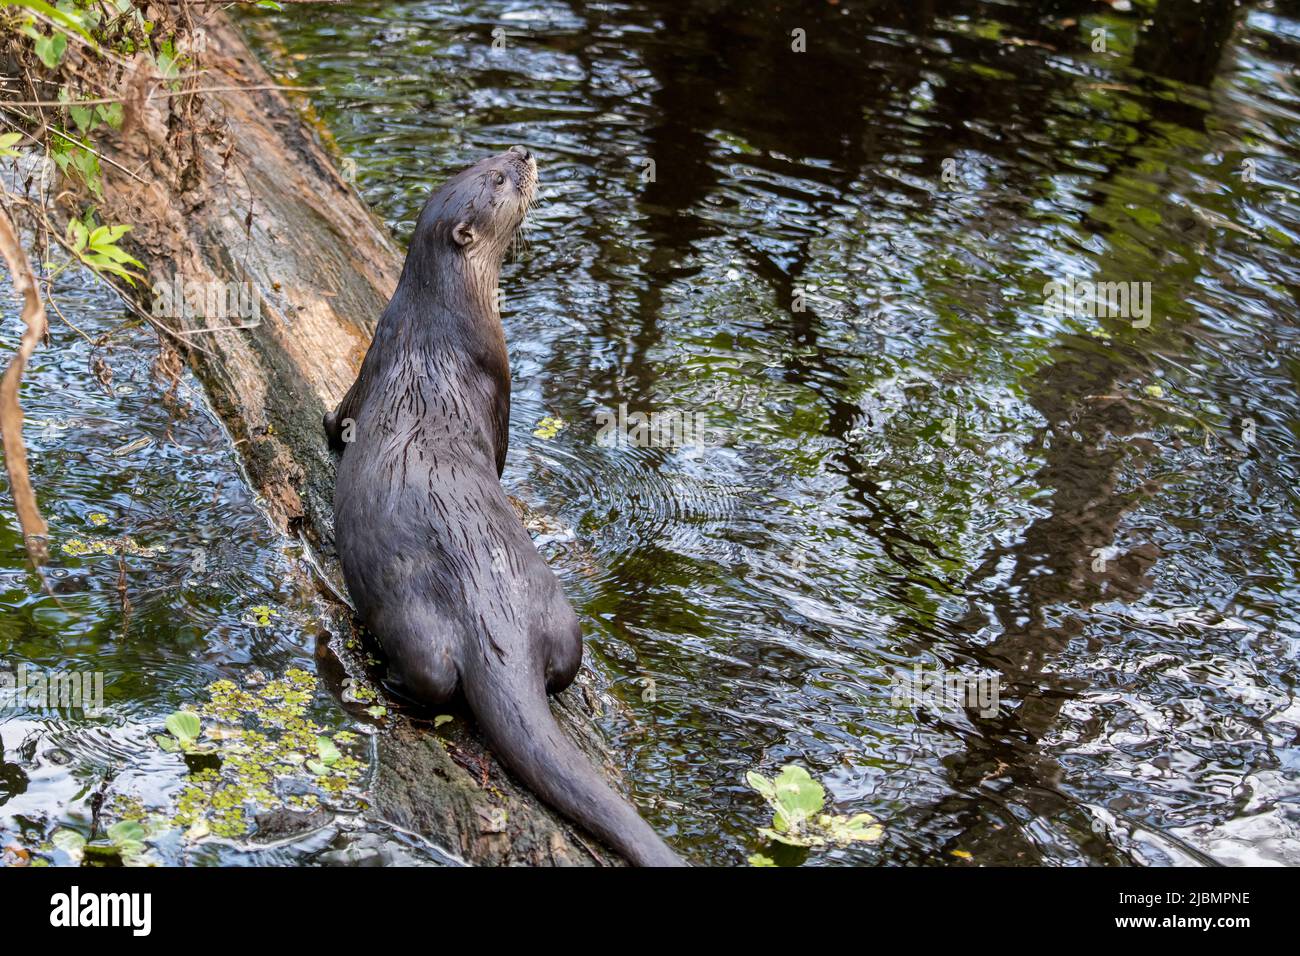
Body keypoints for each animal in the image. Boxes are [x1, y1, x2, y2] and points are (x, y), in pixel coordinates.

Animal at [325, 146, 683, 867]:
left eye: (481, 160)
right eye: (495, 179)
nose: (521, 153)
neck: (437, 323)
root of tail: (498, 623)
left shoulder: (372, 360)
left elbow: (337, 419)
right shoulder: (498, 382)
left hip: (552, 618)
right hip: (426, 627)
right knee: (434, 680)